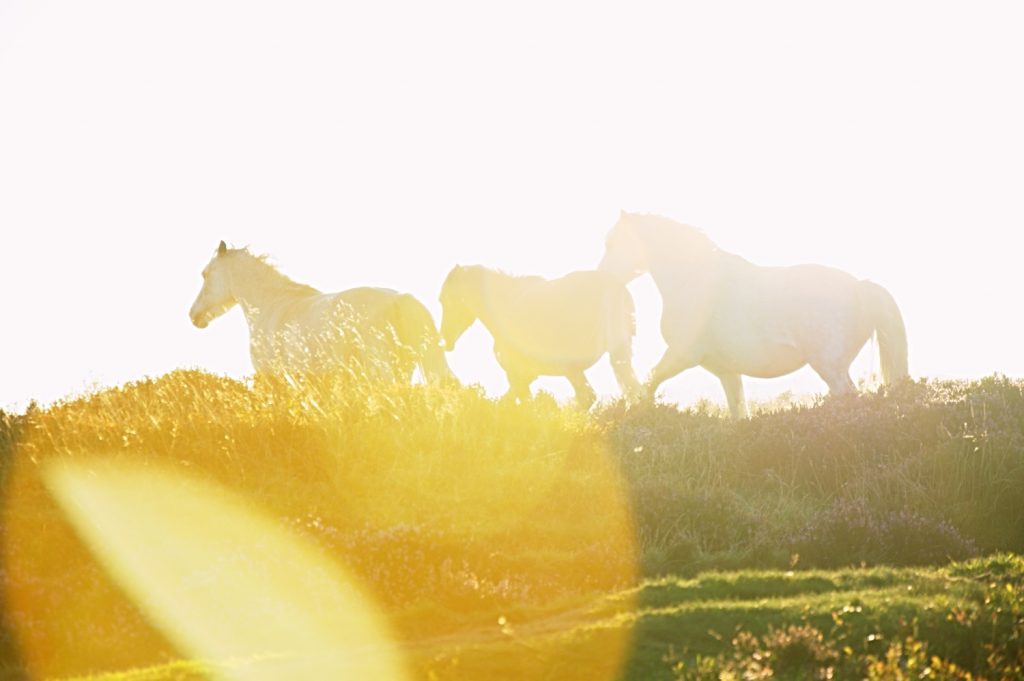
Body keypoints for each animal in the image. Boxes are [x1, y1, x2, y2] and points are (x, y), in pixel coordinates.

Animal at [438, 264, 638, 403]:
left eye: (445, 300)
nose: (445, 339)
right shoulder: (525, 377)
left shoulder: (517, 375)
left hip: (570, 366)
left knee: (587, 396)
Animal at [598, 210, 909, 413]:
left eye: (612, 244)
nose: (602, 277)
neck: (695, 282)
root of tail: (860, 287)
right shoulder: (726, 370)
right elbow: (738, 411)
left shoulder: (682, 355)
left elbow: (649, 382)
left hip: (830, 368)